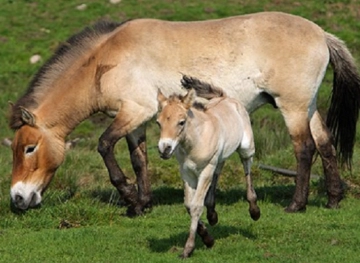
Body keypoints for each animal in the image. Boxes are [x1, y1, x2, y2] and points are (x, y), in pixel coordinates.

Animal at [8, 11, 360, 217]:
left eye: (29, 148)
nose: (18, 199)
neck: (105, 60)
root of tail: (322, 34)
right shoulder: (136, 120)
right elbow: (139, 160)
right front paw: (143, 204)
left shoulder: (134, 111)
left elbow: (105, 146)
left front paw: (130, 199)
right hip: (307, 105)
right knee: (326, 144)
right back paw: (332, 198)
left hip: (292, 107)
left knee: (305, 148)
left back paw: (296, 205)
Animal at [156, 77, 260, 260]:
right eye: (158, 123)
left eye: (181, 122)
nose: (164, 149)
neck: (196, 140)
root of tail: (226, 98)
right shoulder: (186, 173)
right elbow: (188, 205)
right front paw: (207, 238)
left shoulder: (204, 171)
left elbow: (196, 206)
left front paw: (188, 249)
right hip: (220, 157)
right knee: (219, 171)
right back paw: (212, 215)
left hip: (246, 147)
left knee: (246, 166)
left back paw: (254, 210)